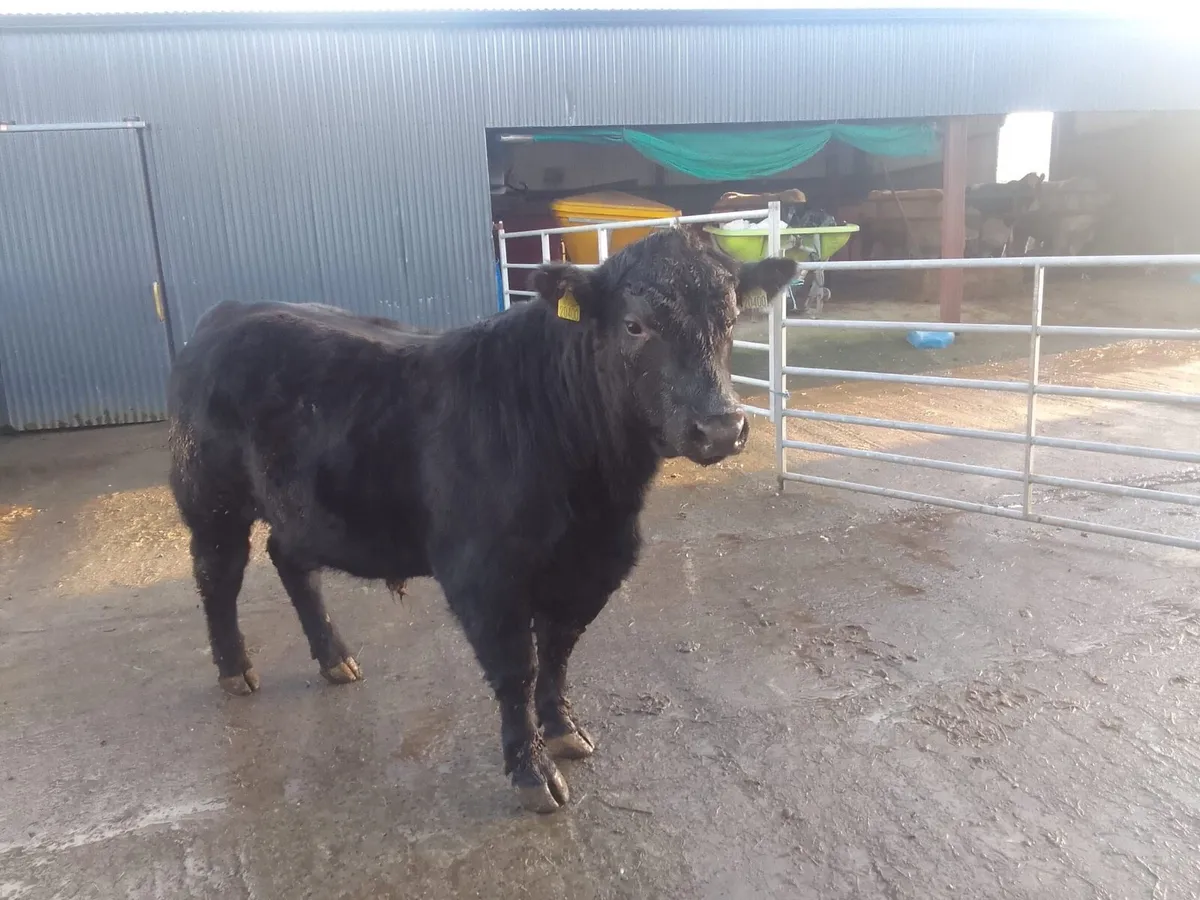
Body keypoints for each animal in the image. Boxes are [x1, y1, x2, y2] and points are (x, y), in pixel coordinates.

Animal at [167, 227, 798, 813]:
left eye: (731, 318)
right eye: (635, 325)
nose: (721, 427)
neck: (597, 498)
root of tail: (227, 312)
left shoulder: (591, 567)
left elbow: (558, 656)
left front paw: (563, 731)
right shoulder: (483, 574)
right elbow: (518, 668)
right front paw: (532, 773)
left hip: (301, 506)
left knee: (290, 560)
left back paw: (335, 659)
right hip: (210, 498)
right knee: (217, 574)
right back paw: (235, 669)